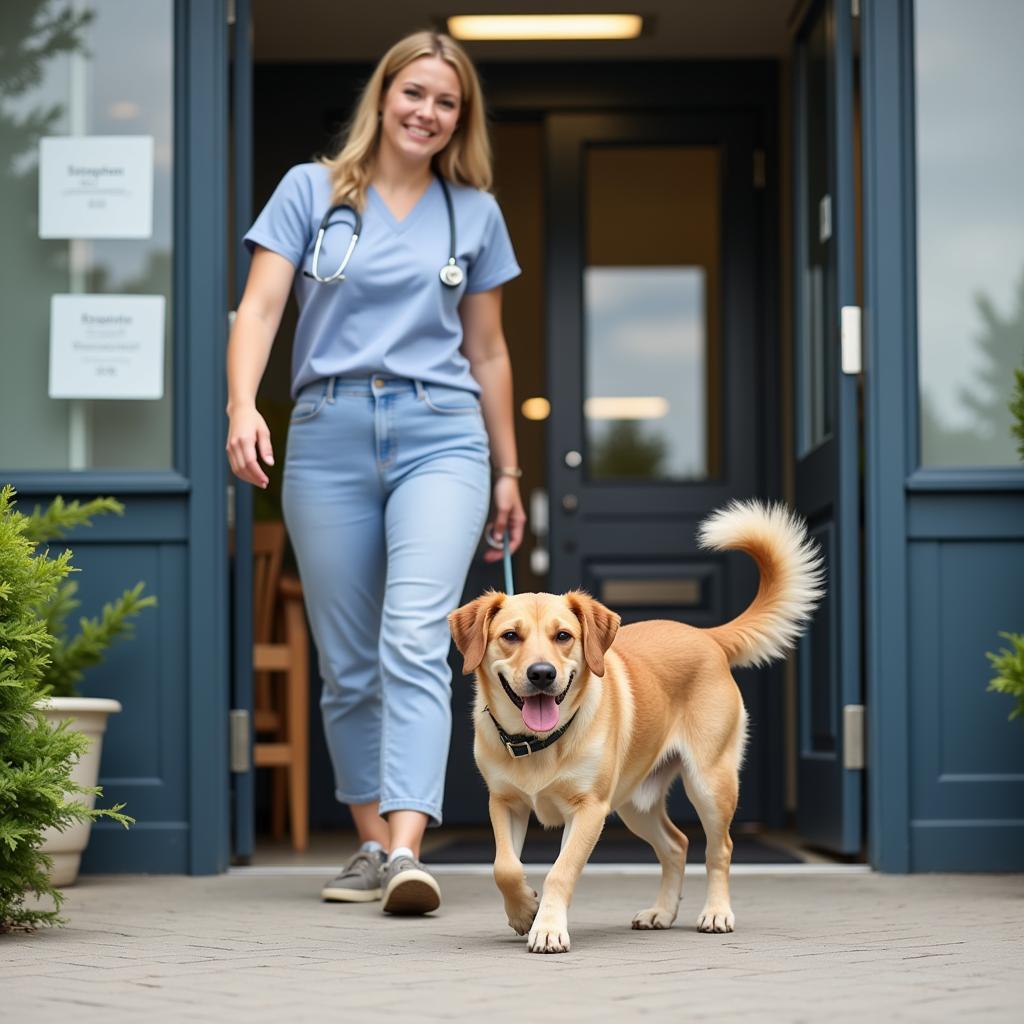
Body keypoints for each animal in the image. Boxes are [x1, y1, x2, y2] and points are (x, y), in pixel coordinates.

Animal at [448, 499, 823, 954]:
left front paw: (548, 926)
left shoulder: (589, 810)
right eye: (510, 636)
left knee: (719, 849)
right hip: (635, 805)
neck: (540, 743)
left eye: (563, 636)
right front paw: (523, 910)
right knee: (676, 845)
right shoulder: (504, 804)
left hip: (709, 784)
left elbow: (560, 870)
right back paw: (662, 912)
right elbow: (504, 866)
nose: (541, 674)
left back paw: (717, 912)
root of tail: (706, 636)